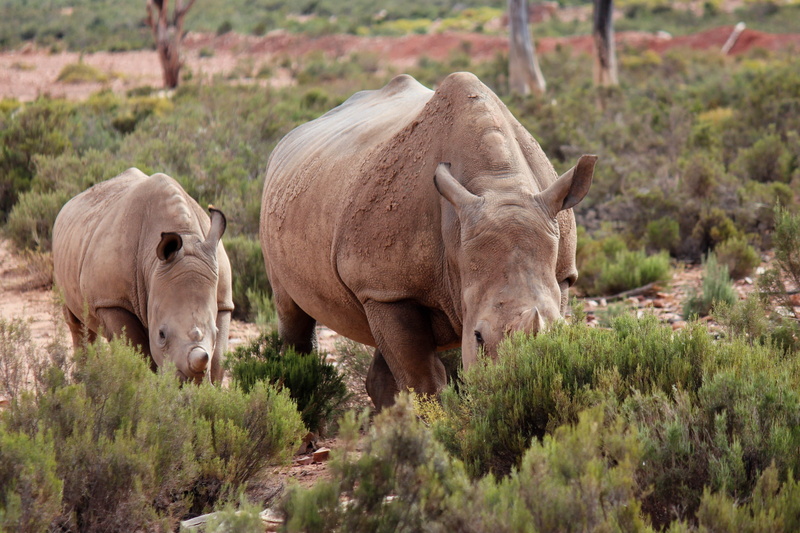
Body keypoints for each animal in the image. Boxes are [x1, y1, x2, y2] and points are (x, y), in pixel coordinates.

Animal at [53, 168, 234, 383]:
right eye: (162, 334)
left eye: (215, 332)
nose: (190, 383)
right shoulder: (112, 300)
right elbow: (138, 353)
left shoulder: (224, 301)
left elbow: (218, 359)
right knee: (77, 323)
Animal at [260, 72, 595, 408]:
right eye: (478, 337)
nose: (515, 392)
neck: (501, 184)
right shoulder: (386, 289)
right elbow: (424, 383)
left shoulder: (561, 275)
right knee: (292, 313)